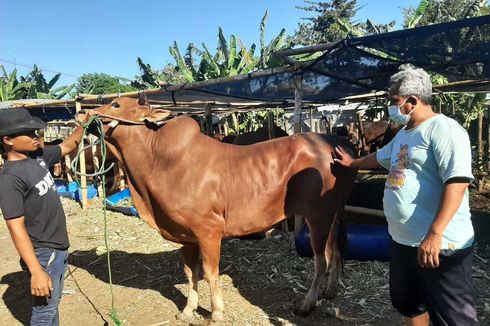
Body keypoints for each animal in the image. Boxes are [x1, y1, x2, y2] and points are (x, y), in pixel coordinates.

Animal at [88, 96, 356, 320]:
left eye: (115, 104)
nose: (87, 114)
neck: (157, 161)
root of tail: (339, 142)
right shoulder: (185, 236)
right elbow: (190, 273)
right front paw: (188, 311)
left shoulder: (209, 230)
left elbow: (209, 272)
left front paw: (216, 312)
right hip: (334, 211)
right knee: (336, 248)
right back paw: (331, 290)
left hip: (318, 215)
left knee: (321, 260)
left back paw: (306, 304)